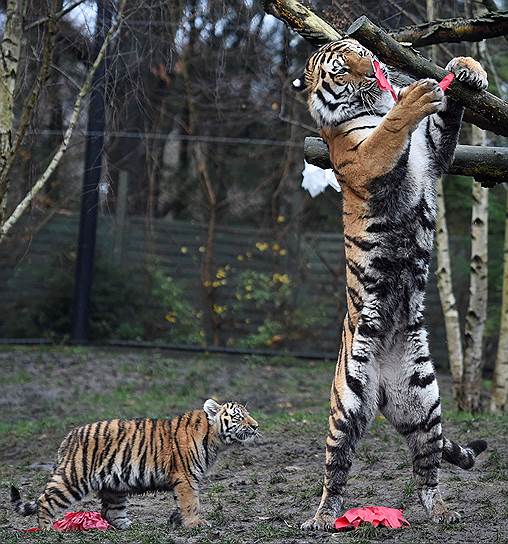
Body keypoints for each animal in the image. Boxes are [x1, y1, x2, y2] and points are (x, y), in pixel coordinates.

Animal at [10, 398, 260, 528]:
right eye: (239, 417)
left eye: (249, 415)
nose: (256, 425)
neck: (215, 439)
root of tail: (69, 437)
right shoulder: (186, 478)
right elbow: (191, 502)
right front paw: (194, 523)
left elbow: (181, 503)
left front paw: (175, 520)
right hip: (74, 478)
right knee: (45, 501)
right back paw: (48, 531)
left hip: (114, 487)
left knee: (111, 512)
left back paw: (127, 528)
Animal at [294, 39, 488, 532]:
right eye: (341, 71)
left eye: (360, 50)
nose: (374, 68)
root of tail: (383, 390)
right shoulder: (364, 158)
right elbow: (388, 132)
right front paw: (416, 96)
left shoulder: (433, 153)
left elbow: (444, 124)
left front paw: (465, 68)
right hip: (346, 405)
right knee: (335, 471)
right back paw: (321, 518)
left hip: (425, 400)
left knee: (427, 469)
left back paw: (442, 511)